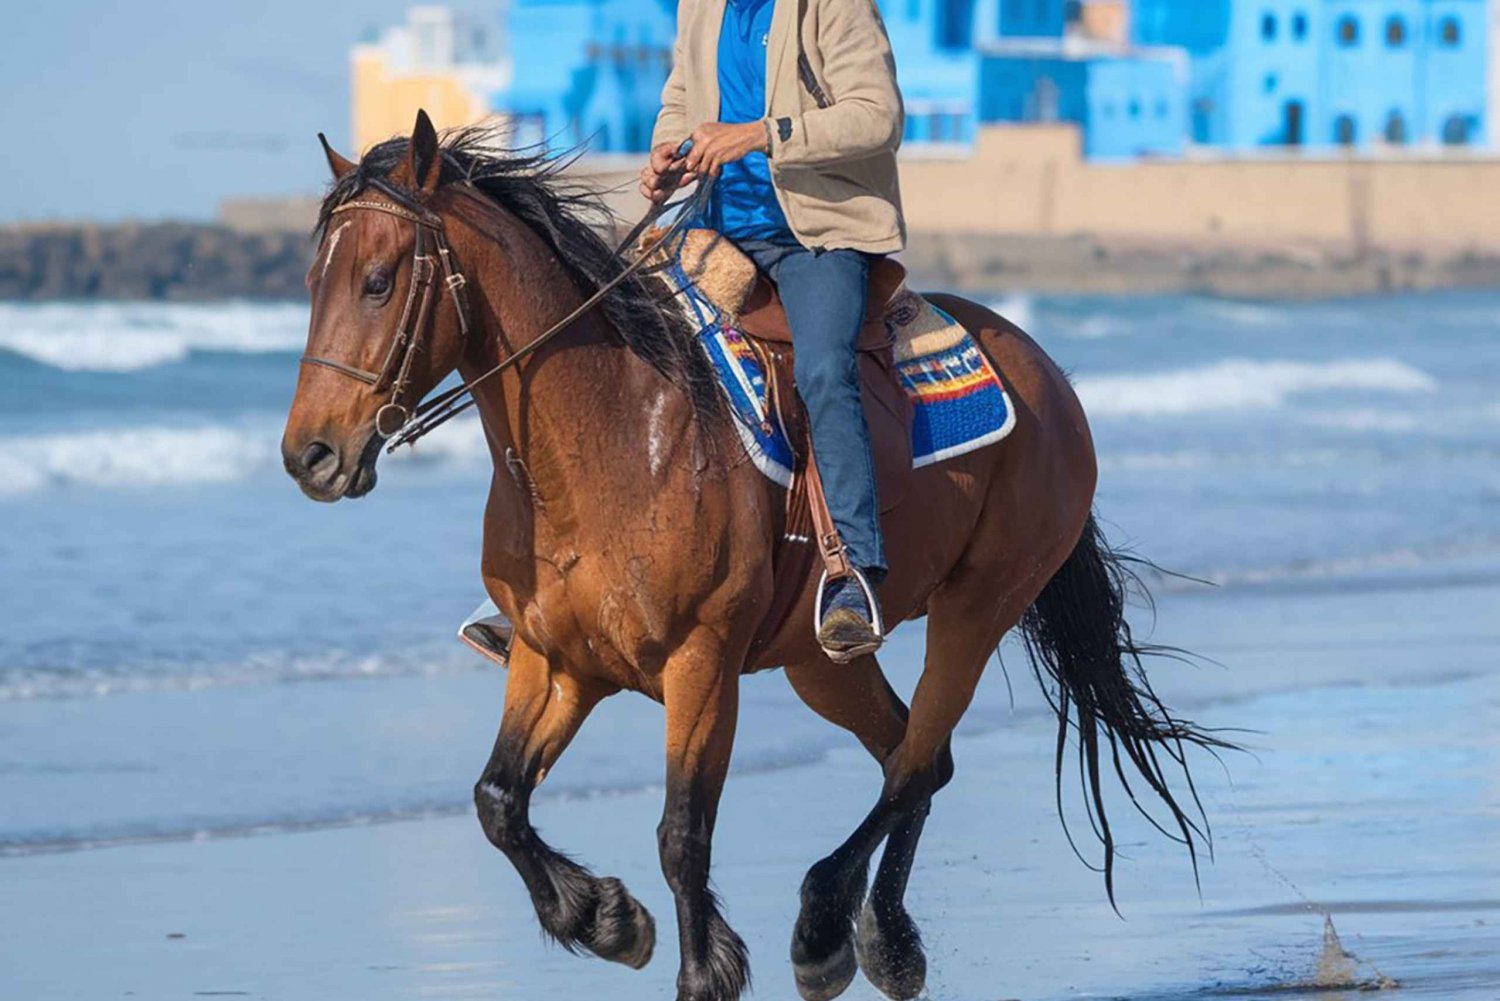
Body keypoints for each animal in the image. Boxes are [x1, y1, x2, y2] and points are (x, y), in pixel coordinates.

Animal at [282, 113, 1218, 996]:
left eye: (377, 281)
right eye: (312, 282)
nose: (310, 456)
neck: (611, 432)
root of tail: (1045, 374)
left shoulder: (701, 664)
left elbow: (682, 833)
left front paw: (703, 967)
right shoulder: (556, 659)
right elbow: (498, 800)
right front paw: (606, 916)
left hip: (977, 608)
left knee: (915, 762)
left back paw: (825, 926)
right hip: (820, 660)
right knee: (918, 758)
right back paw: (882, 939)